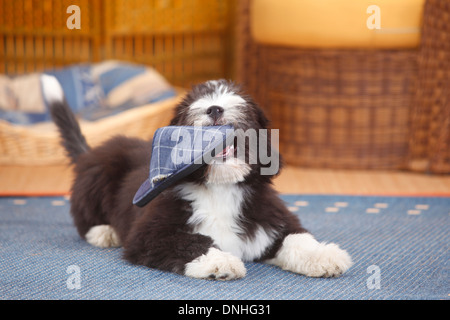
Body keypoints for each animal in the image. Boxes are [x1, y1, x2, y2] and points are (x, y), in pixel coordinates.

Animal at [43, 75, 352, 280]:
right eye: (194, 103)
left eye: (236, 100)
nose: (214, 108)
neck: (220, 187)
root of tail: (89, 154)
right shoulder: (150, 233)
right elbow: (192, 242)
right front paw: (221, 262)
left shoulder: (273, 220)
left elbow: (297, 238)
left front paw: (324, 256)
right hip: (99, 176)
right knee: (83, 219)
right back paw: (104, 232)